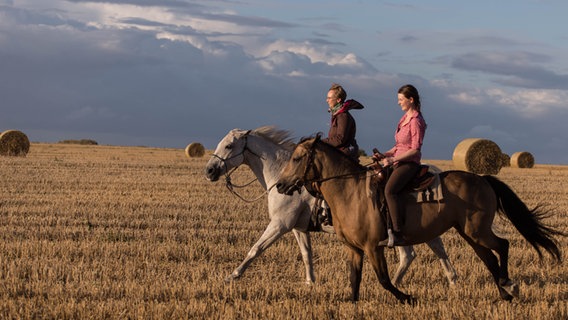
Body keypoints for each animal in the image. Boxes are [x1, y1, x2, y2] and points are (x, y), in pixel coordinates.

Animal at [204, 126, 458, 286]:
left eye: (229, 146)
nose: (209, 171)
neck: (281, 174)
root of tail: (434, 173)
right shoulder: (298, 228)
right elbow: (306, 254)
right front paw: (310, 282)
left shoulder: (280, 224)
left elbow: (255, 249)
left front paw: (232, 276)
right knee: (435, 250)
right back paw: (452, 279)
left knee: (411, 254)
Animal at [276, 134, 564, 302]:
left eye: (298, 158)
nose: (280, 185)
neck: (350, 192)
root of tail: (483, 178)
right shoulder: (354, 249)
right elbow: (354, 280)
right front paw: (353, 303)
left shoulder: (373, 246)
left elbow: (384, 279)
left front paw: (407, 297)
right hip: (469, 233)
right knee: (489, 259)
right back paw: (503, 294)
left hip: (477, 231)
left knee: (502, 246)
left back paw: (508, 285)